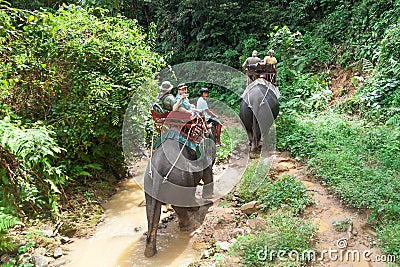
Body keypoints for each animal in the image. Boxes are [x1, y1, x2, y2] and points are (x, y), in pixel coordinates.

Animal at [144, 130, 216, 258]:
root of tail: (157, 172)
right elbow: (207, 175)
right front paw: (209, 200)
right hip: (178, 179)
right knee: (178, 205)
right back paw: (188, 226)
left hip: (150, 183)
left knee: (152, 211)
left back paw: (149, 253)